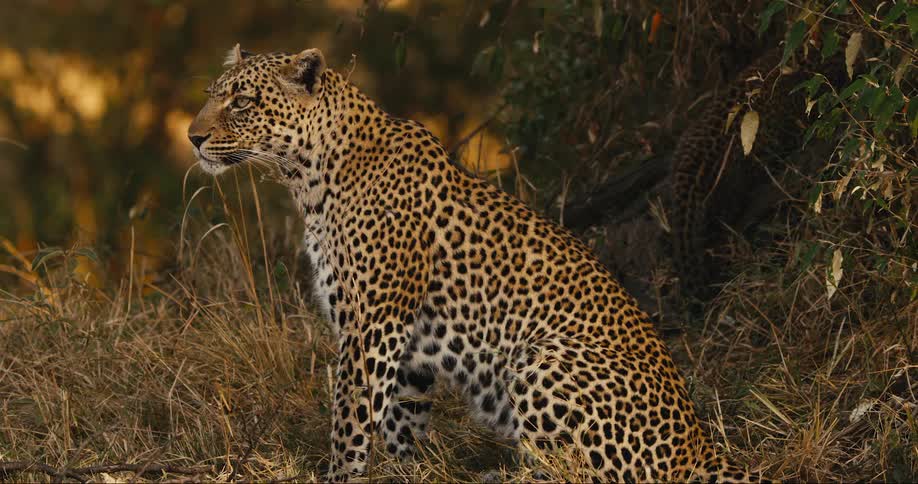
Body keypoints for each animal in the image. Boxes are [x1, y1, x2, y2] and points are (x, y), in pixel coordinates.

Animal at [187, 44, 753, 482]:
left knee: (580, 474)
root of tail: (698, 448)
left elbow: (351, 415)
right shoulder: (405, 341)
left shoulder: (373, 323)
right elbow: (400, 419)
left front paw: (340, 475)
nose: (193, 137)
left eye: (241, 102)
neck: (308, 178)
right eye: (211, 94)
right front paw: (410, 471)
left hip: (539, 359)